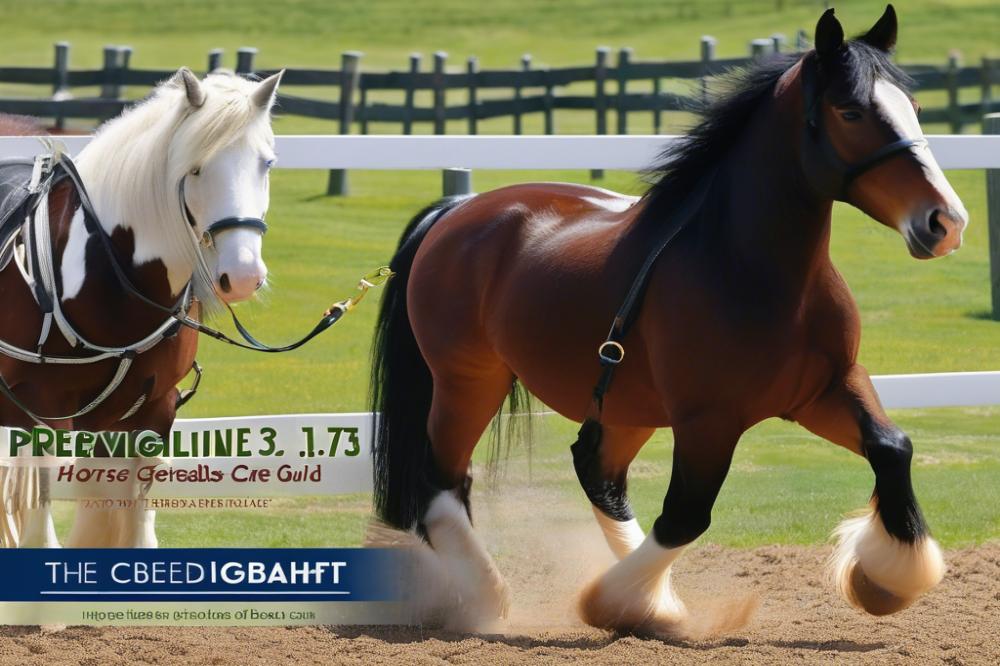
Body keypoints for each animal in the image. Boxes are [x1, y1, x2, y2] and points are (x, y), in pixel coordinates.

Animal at [370, 5, 968, 636]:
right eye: (850, 111)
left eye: (914, 107)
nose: (944, 222)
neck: (749, 268)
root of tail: (458, 211)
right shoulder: (710, 420)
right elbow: (687, 515)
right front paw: (614, 604)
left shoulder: (825, 389)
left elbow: (893, 448)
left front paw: (885, 581)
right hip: (468, 382)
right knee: (442, 482)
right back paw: (486, 600)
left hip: (624, 405)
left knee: (596, 472)